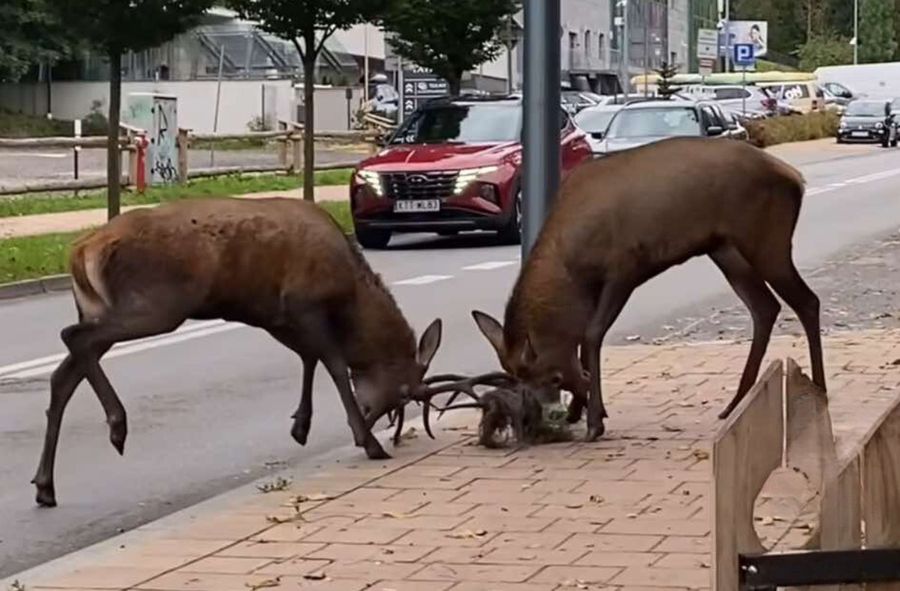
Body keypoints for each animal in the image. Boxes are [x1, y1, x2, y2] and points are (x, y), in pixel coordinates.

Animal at [31, 197, 500, 506]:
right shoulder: (304, 302)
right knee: (73, 336)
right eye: (404, 392)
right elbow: (332, 362)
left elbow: (308, 357)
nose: (376, 418)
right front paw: (366, 441)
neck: (347, 292)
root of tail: (81, 251)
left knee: (63, 374)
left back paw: (45, 486)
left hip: (105, 306)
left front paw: (301, 425)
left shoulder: (271, 313)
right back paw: (117, 426)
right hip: (156, 304)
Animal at [474, 136, 828, 442]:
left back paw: (820, 390)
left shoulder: (624, 267)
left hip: (767, 240)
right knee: (765, 306)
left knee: (807, 300)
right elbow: (584, 341)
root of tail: (797, 179)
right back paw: (735, 404)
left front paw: (594, 420)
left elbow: (592, 335)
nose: (540, 422)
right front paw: (585, 410)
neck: (573, 268)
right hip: (725, 249)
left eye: (553, 378)